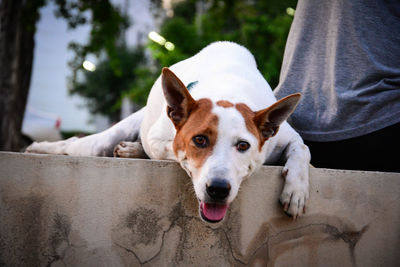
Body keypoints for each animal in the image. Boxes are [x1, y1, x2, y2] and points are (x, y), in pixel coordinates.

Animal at [26, 42, 310, 224]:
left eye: (243, 145)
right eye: (199, 140)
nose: (218, 189)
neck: (228, 91)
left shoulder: (284, 136)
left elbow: (303, 150)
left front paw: (296, 190)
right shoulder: (157, 138)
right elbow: (170, 148)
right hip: (101, 142)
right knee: (73, 143)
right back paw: (40, 147)